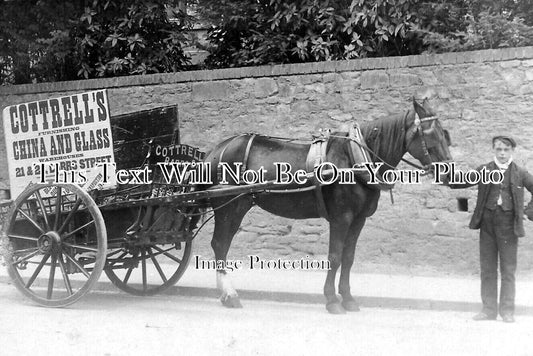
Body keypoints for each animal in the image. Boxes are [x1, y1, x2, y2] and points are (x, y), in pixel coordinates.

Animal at [197, 98, 450, 312]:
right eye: (432, 134)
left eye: (445, 134)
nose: (449, 172)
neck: (354, 159)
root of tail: (216, 150)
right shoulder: (342, 217)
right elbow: (335, 257)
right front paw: (332, 300)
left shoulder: (358, 220)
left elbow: (348, 258)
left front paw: (348, 298)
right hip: (229, 207)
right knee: (220, 244)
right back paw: (229, 294)